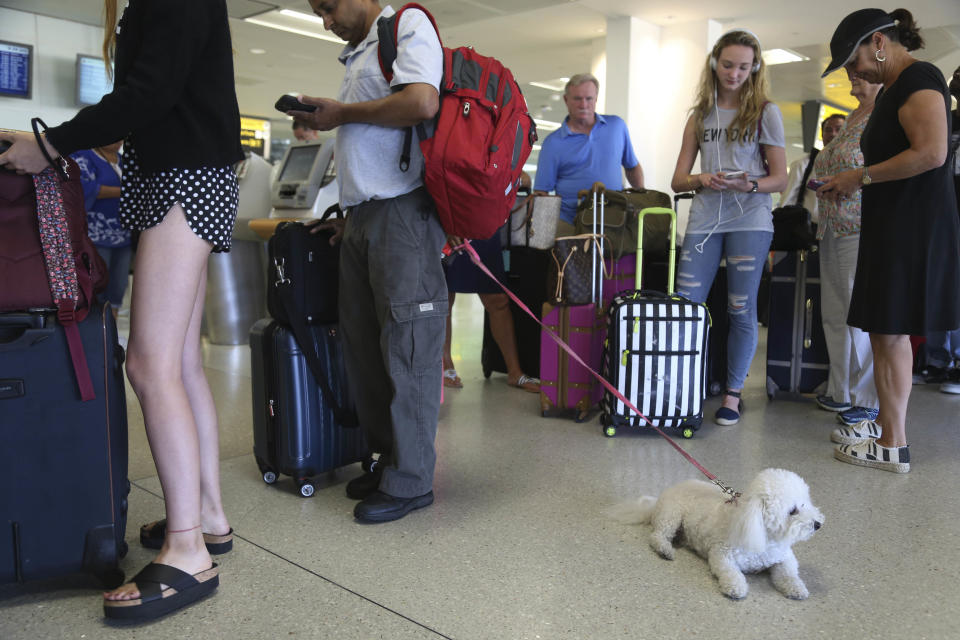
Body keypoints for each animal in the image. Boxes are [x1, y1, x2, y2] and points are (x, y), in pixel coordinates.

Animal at [608, 468, 824, 596]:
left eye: (805, 503)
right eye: (792, 510)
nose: (818, 524)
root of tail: (660, 498)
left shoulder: (784, 557)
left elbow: (788, 572)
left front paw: (796, 587)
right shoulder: (722, 554)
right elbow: (730, 572)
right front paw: (736, 587)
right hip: (671, 515)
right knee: (657, 536)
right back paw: (665, 550)